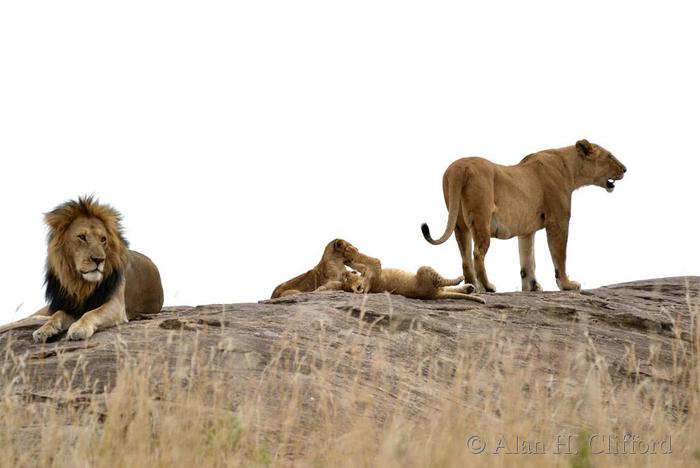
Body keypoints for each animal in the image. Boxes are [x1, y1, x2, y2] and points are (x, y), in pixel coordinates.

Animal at [11, 196, 165, 342]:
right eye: (82, 237)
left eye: (103, 239)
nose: (99, 260)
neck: (82, 283)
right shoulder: (72, 305)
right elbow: (57, 314)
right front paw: (44, 330)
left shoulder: (116, 305)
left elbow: (91, 313)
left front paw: (79, 328)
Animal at [340, 253, 485, 303]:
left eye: (347, 277)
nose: (345, 274)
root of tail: (432, 296)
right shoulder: (376, 268)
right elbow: (371, 259)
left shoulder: (368, 271)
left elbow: (360, 263)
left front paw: (347, 259)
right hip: (424, 270)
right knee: (444, 282)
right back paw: (461, 278)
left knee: (447, 289)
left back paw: (469, 288)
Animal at [421, 139, 626, 293]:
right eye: (609, 156)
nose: (625, 169)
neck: (570, 169)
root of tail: (459, 167)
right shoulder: (558, 220)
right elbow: (560, 255)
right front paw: (567, 285)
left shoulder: (526, 230)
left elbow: (528, 259)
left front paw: (532, 286)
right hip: (481, 218)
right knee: (478, 253)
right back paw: (487, 287)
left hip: (459, 223)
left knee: (465, 258)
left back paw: (473, 288)